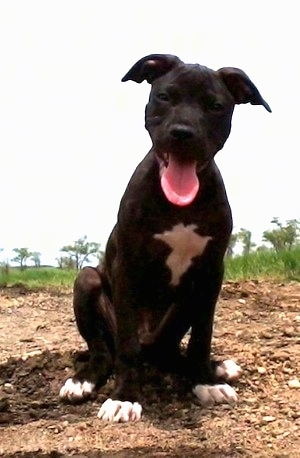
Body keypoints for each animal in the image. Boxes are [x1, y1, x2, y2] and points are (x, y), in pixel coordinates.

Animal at [59, 53, 270, 422]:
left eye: (215, 105)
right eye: (164, 97)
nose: (182, 133)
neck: (179, 206)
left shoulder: (210, 274)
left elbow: (202, 337)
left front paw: (204, 380)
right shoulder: (127, 267)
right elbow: (126, 347)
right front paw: (125, 397)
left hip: (184, 305)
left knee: (168, 350)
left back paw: (213, 368)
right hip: (87, 281)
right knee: (106, 350)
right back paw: (83, 380)